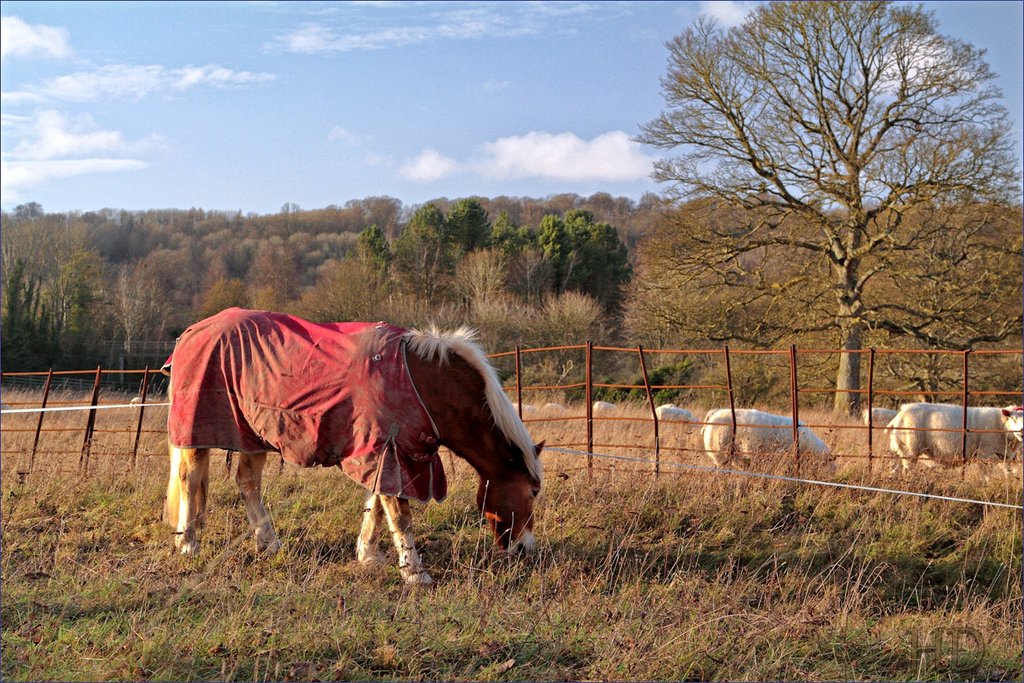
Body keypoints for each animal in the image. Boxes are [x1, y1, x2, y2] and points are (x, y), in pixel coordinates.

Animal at [162, 308, 543, 584]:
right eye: (533, 492)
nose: (525, 550)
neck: (423, 382)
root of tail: (193, 332)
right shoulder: (392, 453)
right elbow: (399, 515)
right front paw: (415, 572)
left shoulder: (385, 452)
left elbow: (376, 505)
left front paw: (368, 554)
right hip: (198, 429)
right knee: (190, 479)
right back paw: (187, 543)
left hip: (254, 433)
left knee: (248, 484)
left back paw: (269, 544)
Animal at [886, 403, 1023, 471]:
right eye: (1013, 419)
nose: (1022, 431)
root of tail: (900, 414)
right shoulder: (985, 455)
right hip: (910, 450)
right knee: (908, 470)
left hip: (899, 449)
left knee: (895, 469)